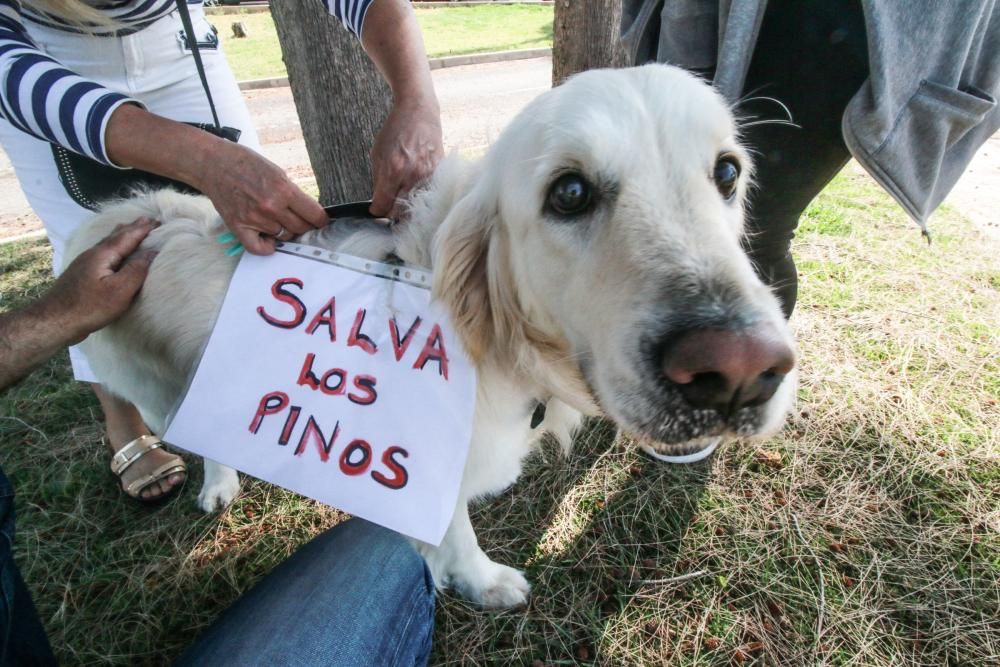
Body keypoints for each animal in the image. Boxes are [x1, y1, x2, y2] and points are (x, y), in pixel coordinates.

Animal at [64, 64, 796, 612]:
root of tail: (128, 215)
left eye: (727, 173)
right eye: (569, 192)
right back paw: (217, 482)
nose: (738, 370)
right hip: (158, 391)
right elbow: (456, 535)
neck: (498, 346)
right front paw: (485, 581)